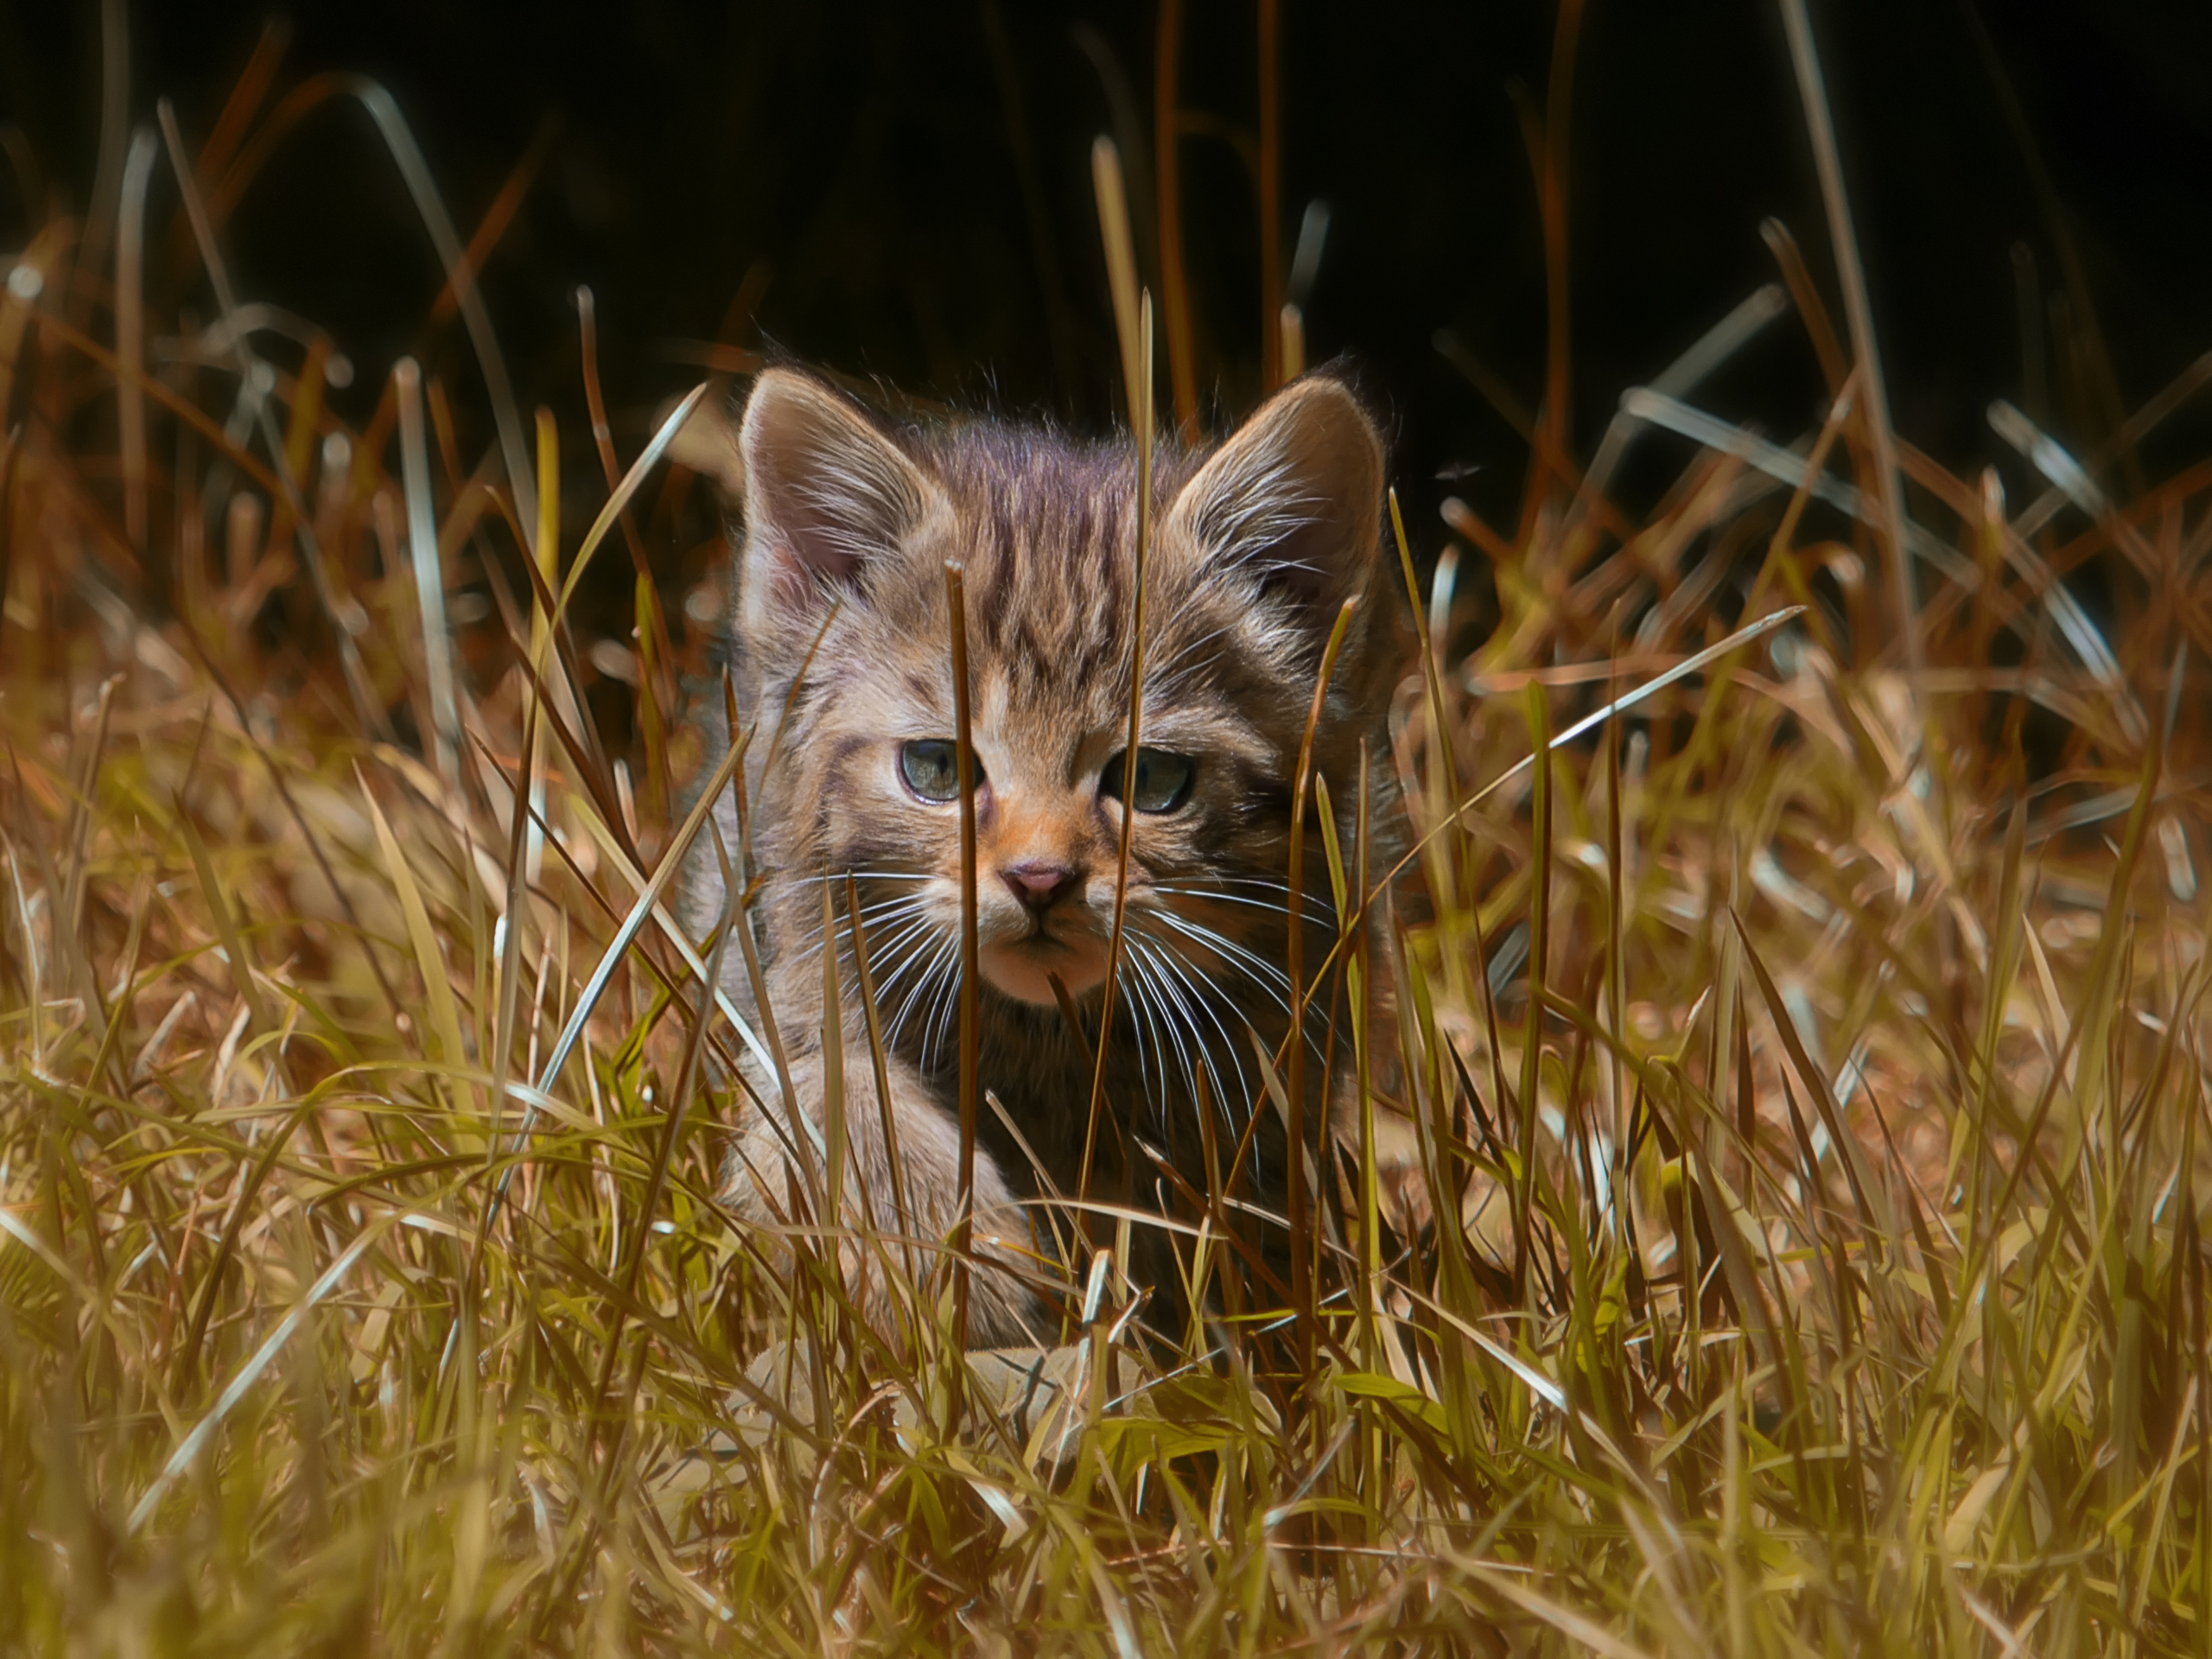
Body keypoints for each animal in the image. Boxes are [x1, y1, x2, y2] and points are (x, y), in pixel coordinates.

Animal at [690, 366, 1389, 1353]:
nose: (1040, 879)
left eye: (1154, 780)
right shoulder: (782, 970)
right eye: (935, 768)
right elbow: (830, 1088)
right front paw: (951, 1258)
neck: (1044, 1040)